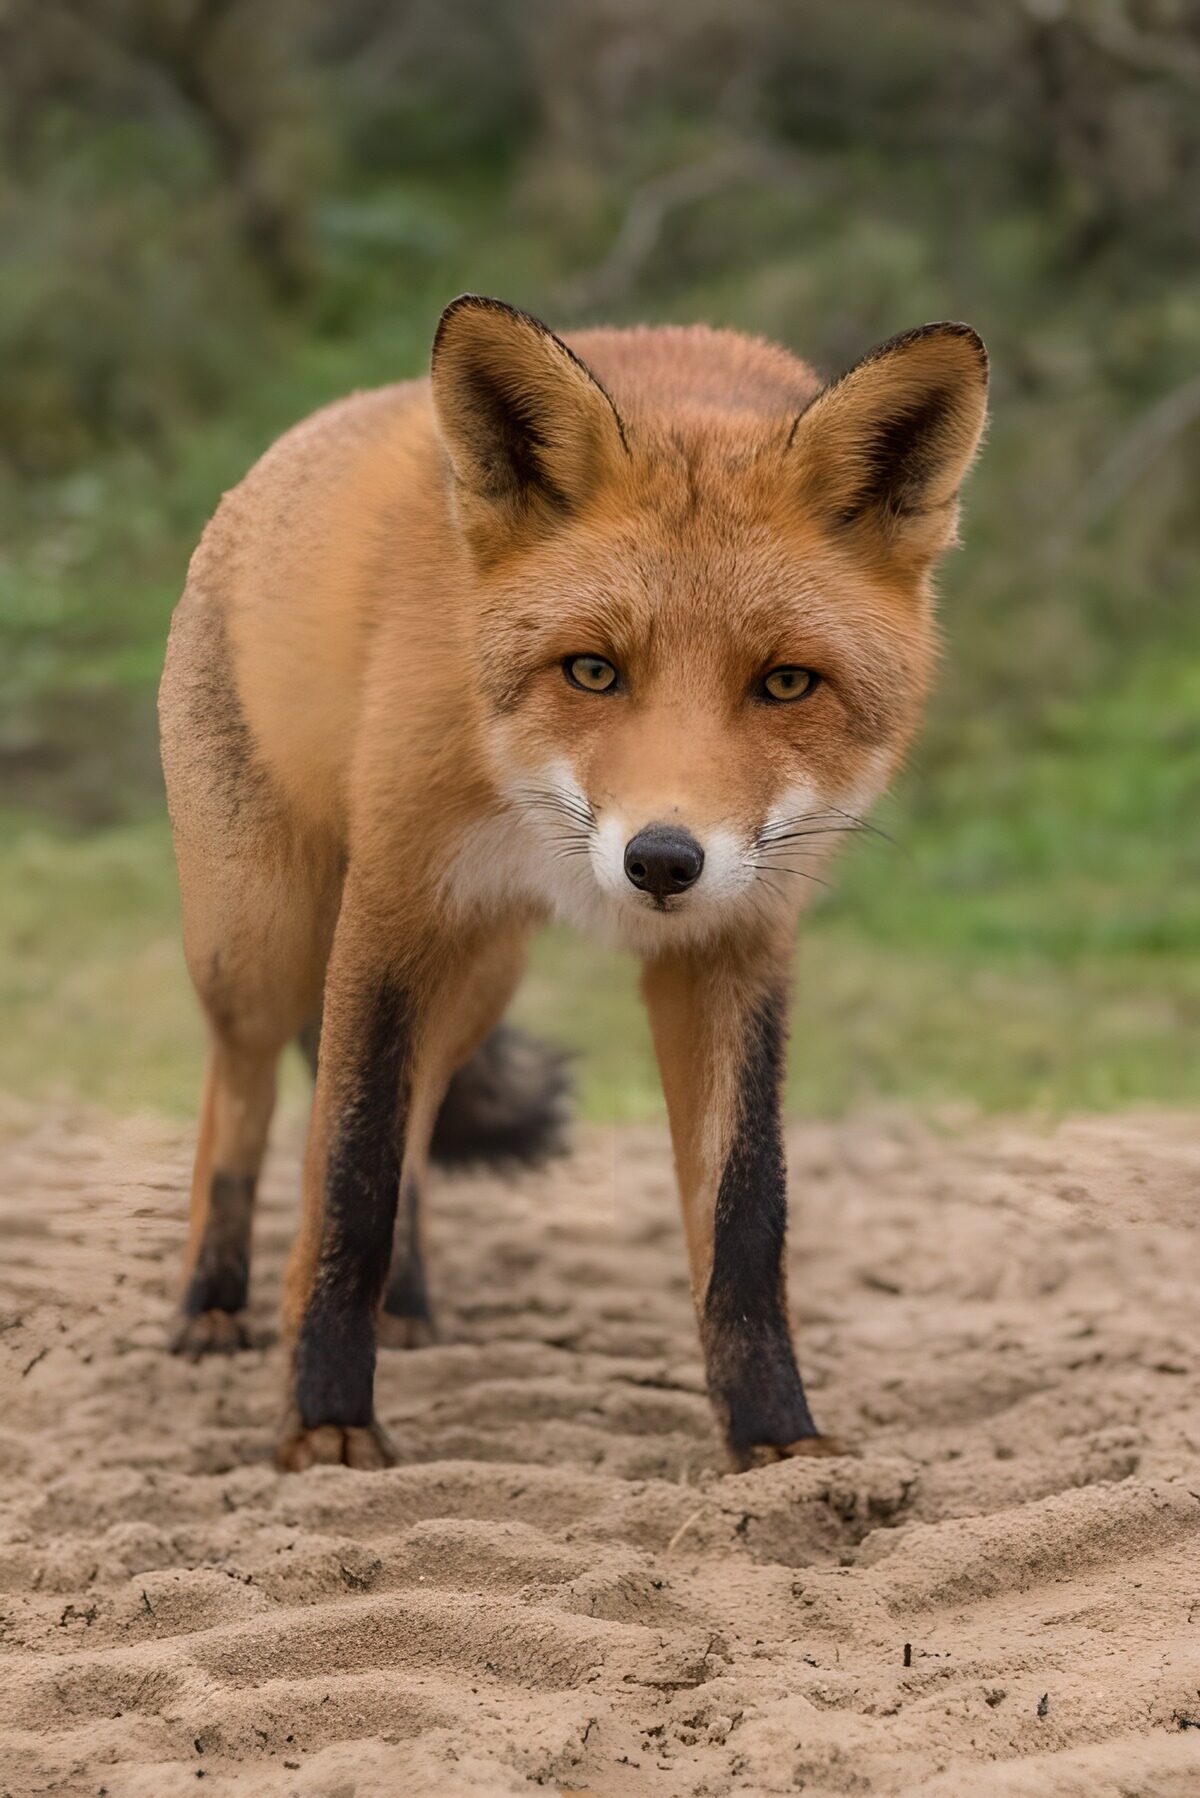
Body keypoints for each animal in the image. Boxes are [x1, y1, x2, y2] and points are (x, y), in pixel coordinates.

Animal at [159, 295, 987, 1473]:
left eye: (786, 683)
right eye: (592, 670)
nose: (663, 861)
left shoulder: (735, 943)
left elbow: (746, 1217)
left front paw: (776, 1439)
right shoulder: (393, 907)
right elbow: (349, 1173)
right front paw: (324, 1417)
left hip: (478, 979)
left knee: (415, 1123)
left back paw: (405, 1304)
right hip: (262, 941)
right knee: (245, 1089)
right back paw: (213, 1299)